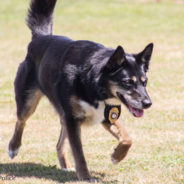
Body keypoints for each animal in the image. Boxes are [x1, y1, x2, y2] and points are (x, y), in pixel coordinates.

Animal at [8, 0, 152, 181]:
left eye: (145, 82)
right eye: (127, 82)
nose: (148, 103)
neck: (94, 81)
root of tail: (41, 37)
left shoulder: (107, 114)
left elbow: (127, 138)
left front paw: (117, 156)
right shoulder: (73, 118)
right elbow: (79, 153)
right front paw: (85, 177)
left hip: (64, 115)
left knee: (59, 143)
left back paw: (65, 165)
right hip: (28, 102)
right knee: (21, 121)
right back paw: (13, 147)